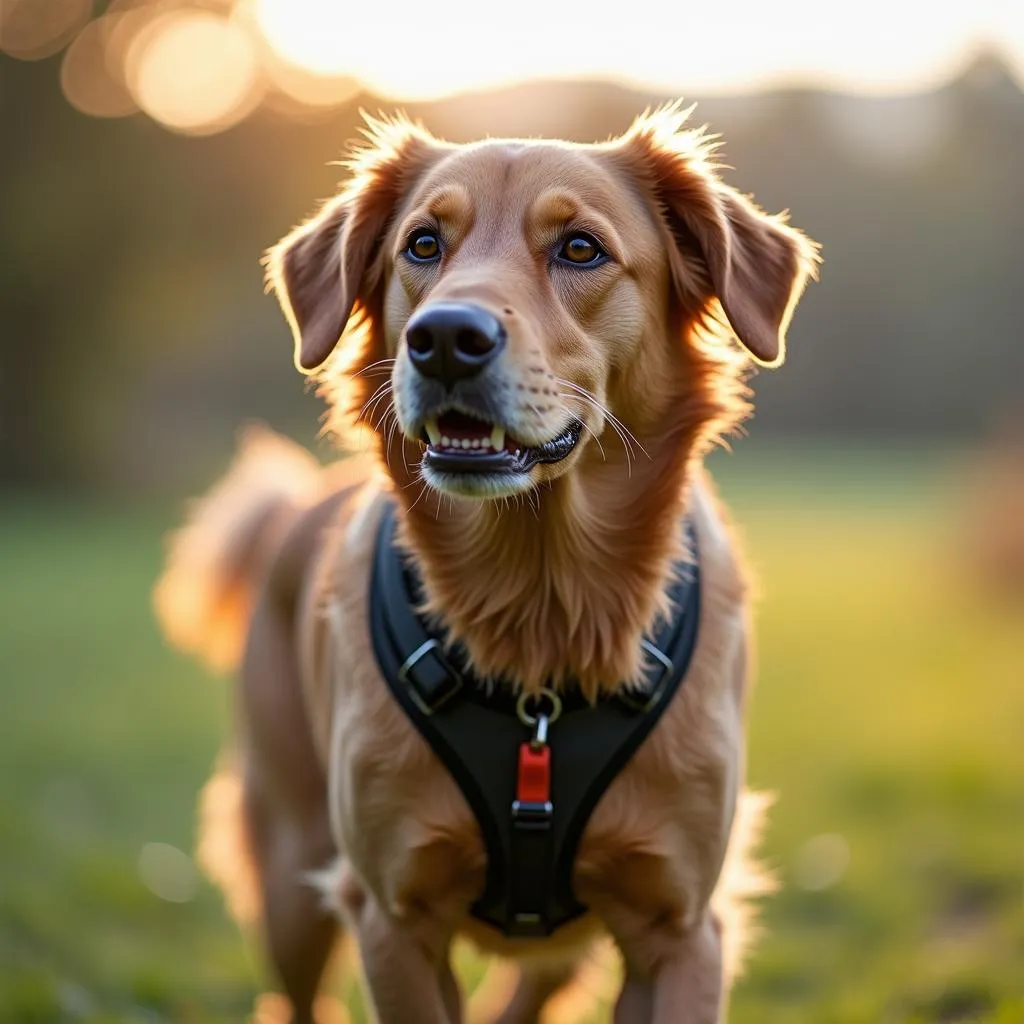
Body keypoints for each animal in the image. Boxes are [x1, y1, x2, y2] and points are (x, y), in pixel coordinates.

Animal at [155, 105, 819, 1024]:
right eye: (423, 244)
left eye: (581, 248)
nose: (444, 340)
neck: (541, 613)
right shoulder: (393, 916)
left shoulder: (682, 926)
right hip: (290, 869)